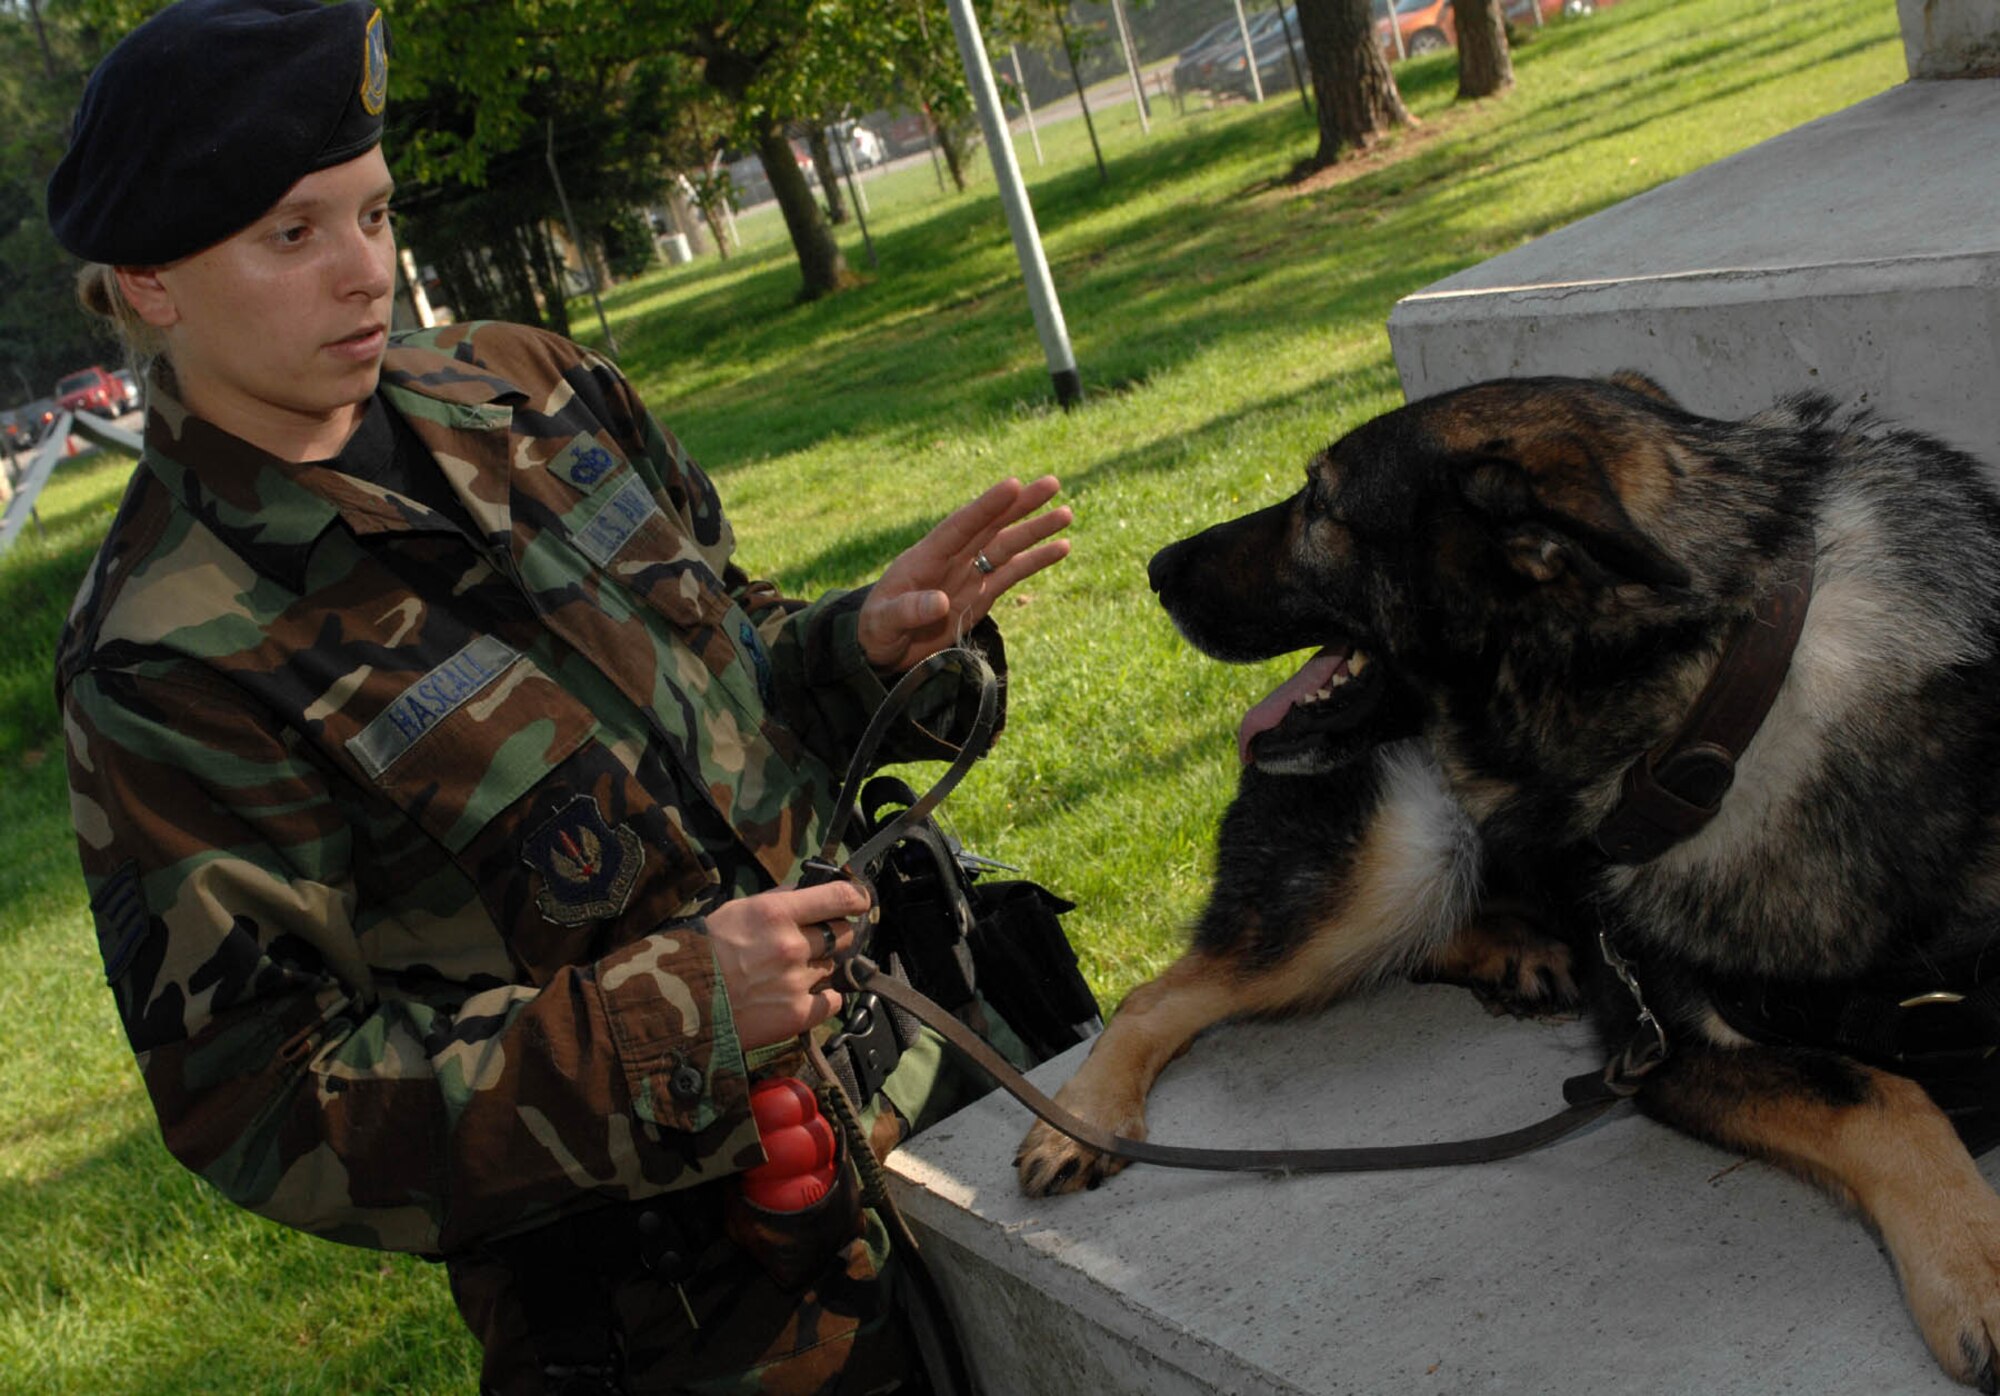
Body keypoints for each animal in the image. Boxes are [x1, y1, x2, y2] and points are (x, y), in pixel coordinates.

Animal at [1024, 376, 2000, 1384]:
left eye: (1322, 506)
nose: (1156, 567)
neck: (1726, 705)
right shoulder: (1663, 1051)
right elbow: (1885, 1097)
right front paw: (1977, 1273)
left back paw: (1517, 954)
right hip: (1395, 859)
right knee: (1163, 992)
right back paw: (1077, 1121)